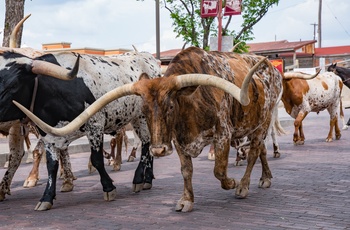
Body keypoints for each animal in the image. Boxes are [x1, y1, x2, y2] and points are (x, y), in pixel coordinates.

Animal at [19, 46, 288, 212]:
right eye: (145, 111)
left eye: (171, 106)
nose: (158, 150)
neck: (192, 104)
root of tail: (270, 68)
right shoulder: (178, 141)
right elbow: (186, 171)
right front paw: (186, 201)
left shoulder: (223, 135)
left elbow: (219, 171)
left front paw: (231, 183)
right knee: (261, 151)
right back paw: (265, 177)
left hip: (262, 123)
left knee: (253, 153)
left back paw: (244, 186)